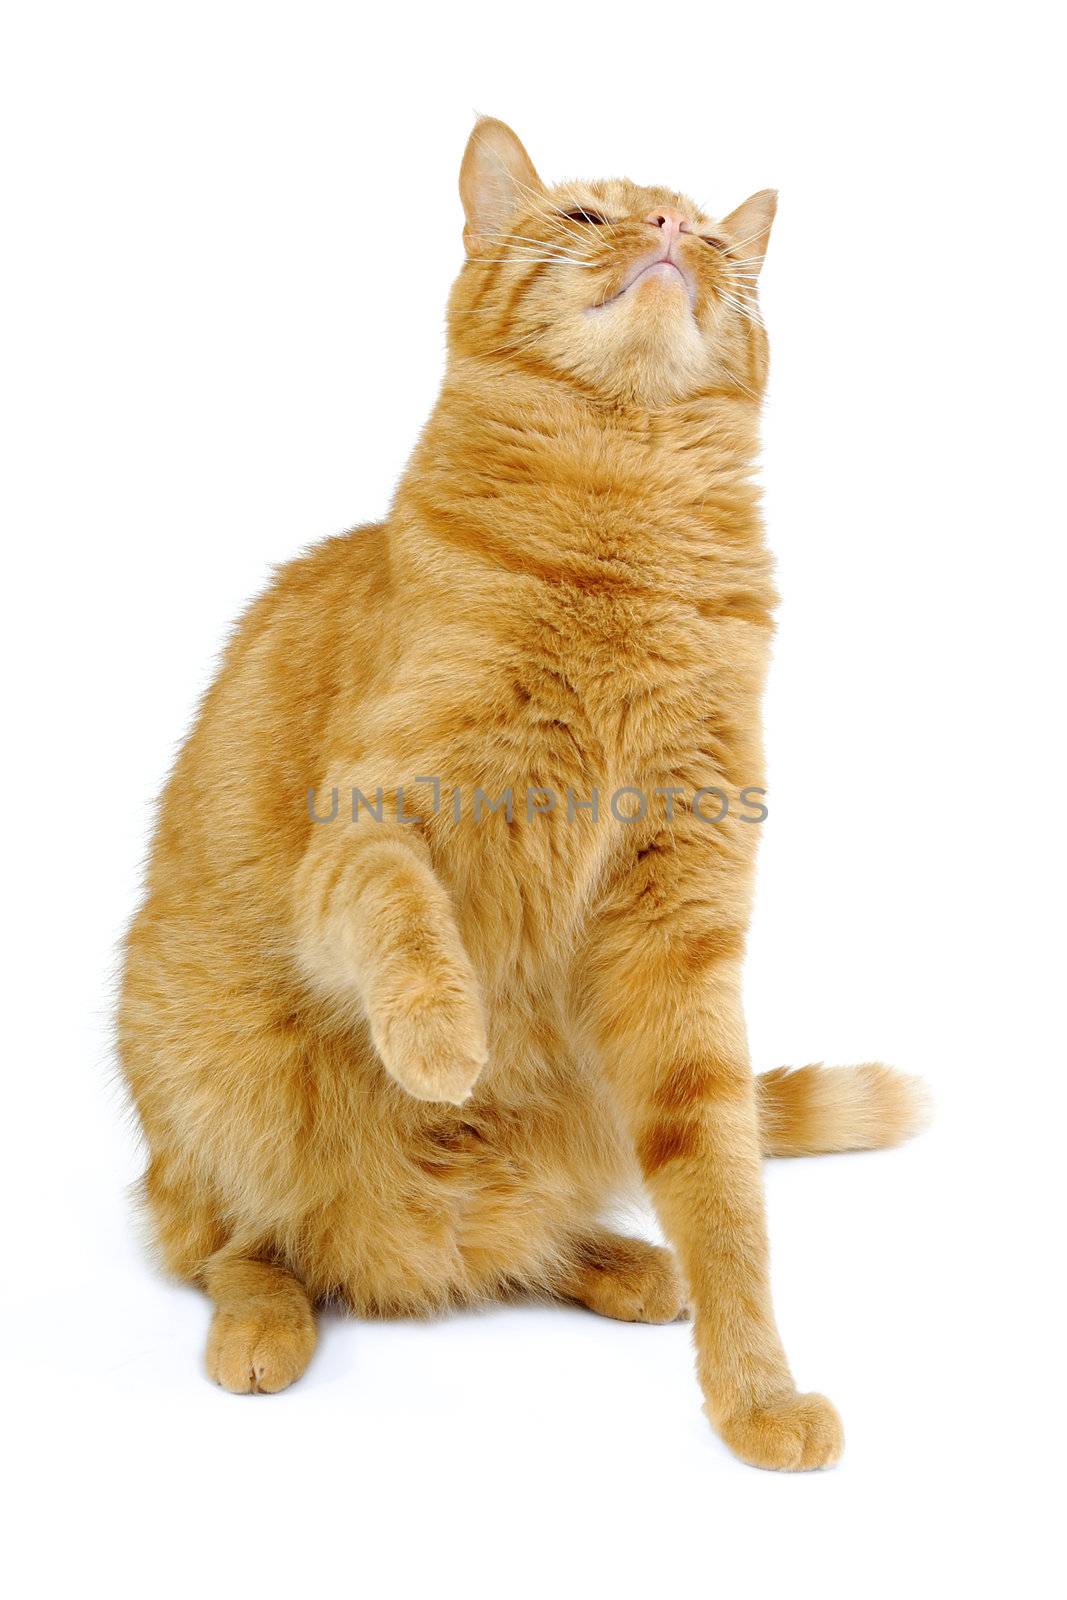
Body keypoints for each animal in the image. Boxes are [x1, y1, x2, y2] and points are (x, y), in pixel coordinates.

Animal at [119, 118, 927, 1472]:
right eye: (592, 215)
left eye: (714, 243)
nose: (669, 233)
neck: (619, 557)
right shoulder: (369, 828)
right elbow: (406, 920)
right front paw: (447, 1043)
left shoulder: (680, 929)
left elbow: (722, 1181)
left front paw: (754, 1395)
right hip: (214, 1091)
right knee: (237, 1239)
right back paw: (267, 1318)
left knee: (513, 1240)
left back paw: (619, 1262)